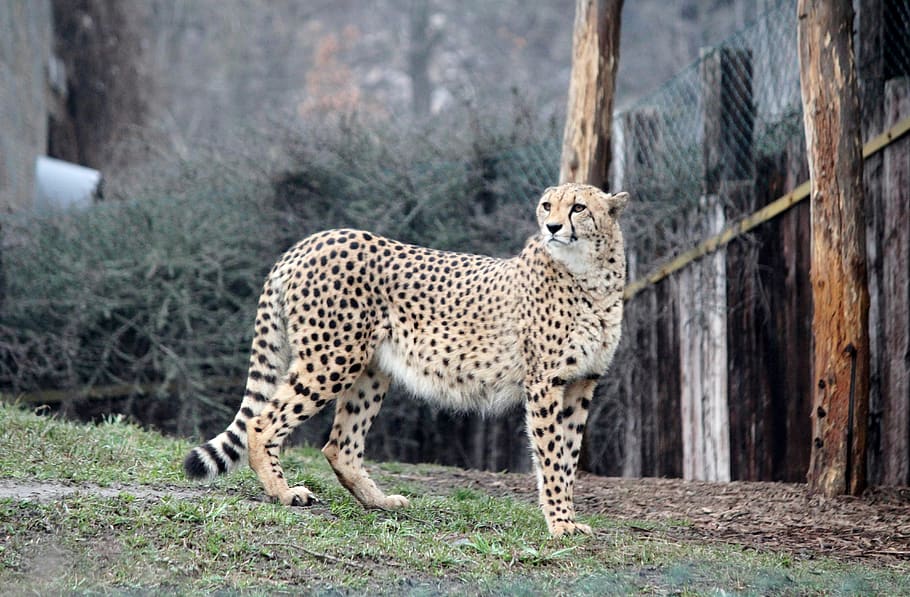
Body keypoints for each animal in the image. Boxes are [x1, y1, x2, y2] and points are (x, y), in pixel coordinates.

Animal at [184, 182, 628, 537]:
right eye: (546, 205)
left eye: (578, 207)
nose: (552, 227)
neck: (592, 278)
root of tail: (313, 239)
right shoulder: (546, 383)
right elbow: (552, 457)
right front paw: (560, 524)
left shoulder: (581, 383)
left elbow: (568, 457)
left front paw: (568, 518)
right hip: (332, 358)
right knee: (261, 423)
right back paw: (284, 492)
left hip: (370, 369)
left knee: (339, 445)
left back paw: (378, 501)